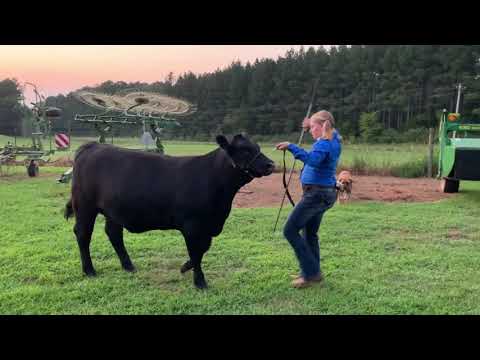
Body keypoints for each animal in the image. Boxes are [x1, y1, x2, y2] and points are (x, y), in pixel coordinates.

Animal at [64, 135, 274, 290]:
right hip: (85, 205)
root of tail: (92, 146)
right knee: (83, 234)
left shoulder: (207, 226)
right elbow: (196, 252)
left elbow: (203, 249)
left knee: (114, 233)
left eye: (257, 147)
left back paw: (128, 266)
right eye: (245, 150)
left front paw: (184, 267)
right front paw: (200, 282)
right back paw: (89, 270)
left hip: (113, 209)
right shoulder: (192, 226)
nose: (271, 164)